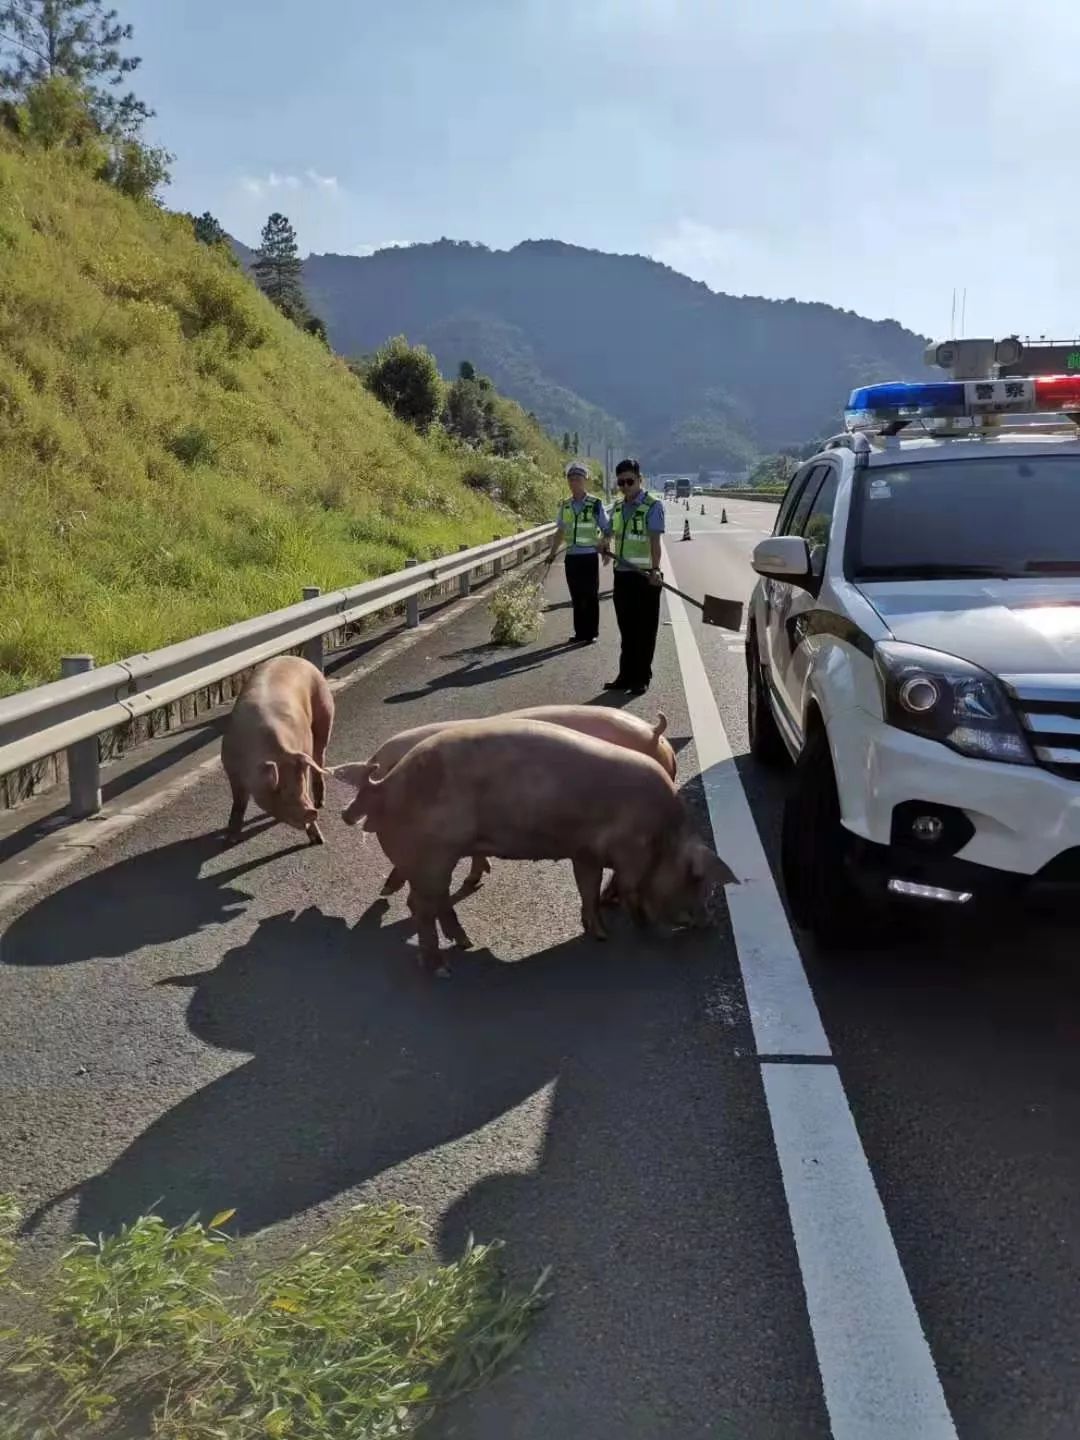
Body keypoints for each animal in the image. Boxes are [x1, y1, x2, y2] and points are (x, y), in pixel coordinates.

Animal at [220, 653, 334, 840]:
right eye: (280, 791)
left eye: (301, 786)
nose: (312, 813)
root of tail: (296, 658)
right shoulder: (231, 768)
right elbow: (238, 803)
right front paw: (231, 838)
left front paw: (319, 840)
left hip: (325, 710)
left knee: (320, 757)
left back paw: (320, 803)